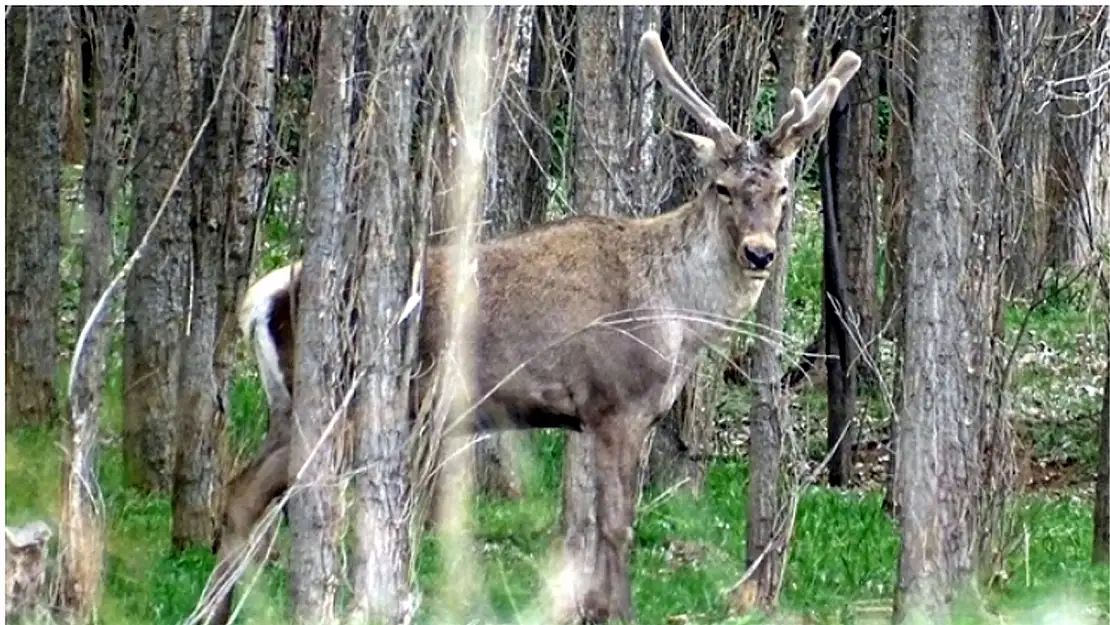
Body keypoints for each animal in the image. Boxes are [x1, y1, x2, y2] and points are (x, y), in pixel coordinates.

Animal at [206, 28, 865, 625]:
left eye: (782, 189)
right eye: (722, 188)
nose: (760, 253)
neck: (676, 317)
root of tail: (265, 295)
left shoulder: (594, 415)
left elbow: (593, 525)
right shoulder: (617, 400)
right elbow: (617, 525)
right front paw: (618, 613)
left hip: (287, 405)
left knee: (241, 494)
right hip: (339, 400)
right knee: (257, 493)